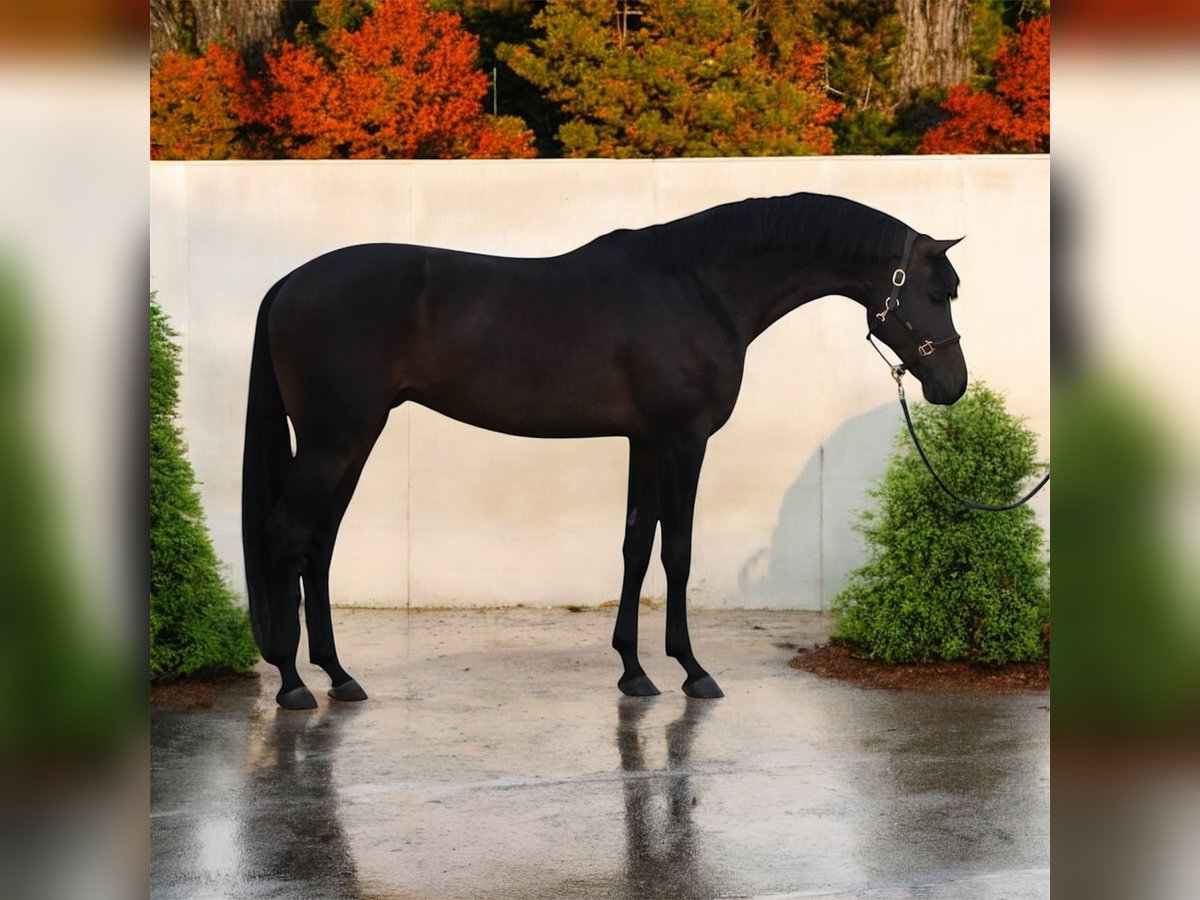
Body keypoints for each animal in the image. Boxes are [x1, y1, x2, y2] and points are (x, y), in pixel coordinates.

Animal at [242, 192, 965, 709]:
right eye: (935, 294)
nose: (952, 386)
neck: (699, 288)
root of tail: (284, 285)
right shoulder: (683, 440)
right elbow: (677, 551)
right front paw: (693, 669)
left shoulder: (644, 442)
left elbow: (636, 547)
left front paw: (634, 671)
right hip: (334, 441)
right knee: (286, 535)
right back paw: (293, 684)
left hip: (354, 440)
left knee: (320, 544)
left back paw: (339, 676)